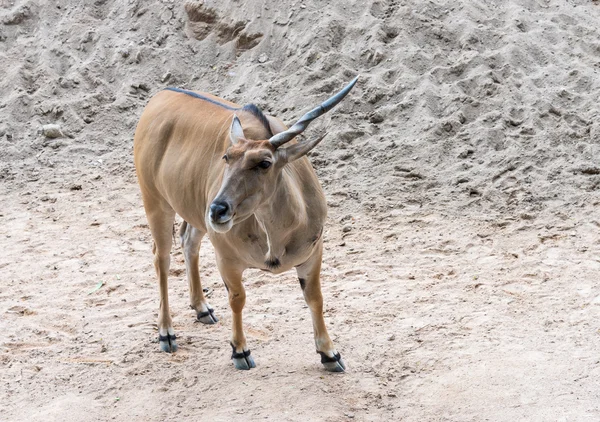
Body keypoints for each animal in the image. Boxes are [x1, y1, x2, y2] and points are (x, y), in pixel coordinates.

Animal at [132, 76, 356, 372]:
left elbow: (315, 298)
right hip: (156, 203)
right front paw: (240, 351)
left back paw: (202, 309)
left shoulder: (313, 254)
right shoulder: (227, 259)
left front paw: (330, 354)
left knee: (188, 241)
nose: (217, 210)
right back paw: (166, 333)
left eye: (264, 163)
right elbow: (238, 299)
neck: (276, 237)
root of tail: (159, 97)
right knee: (162, 258)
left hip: (193, 213)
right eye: (226, 157)